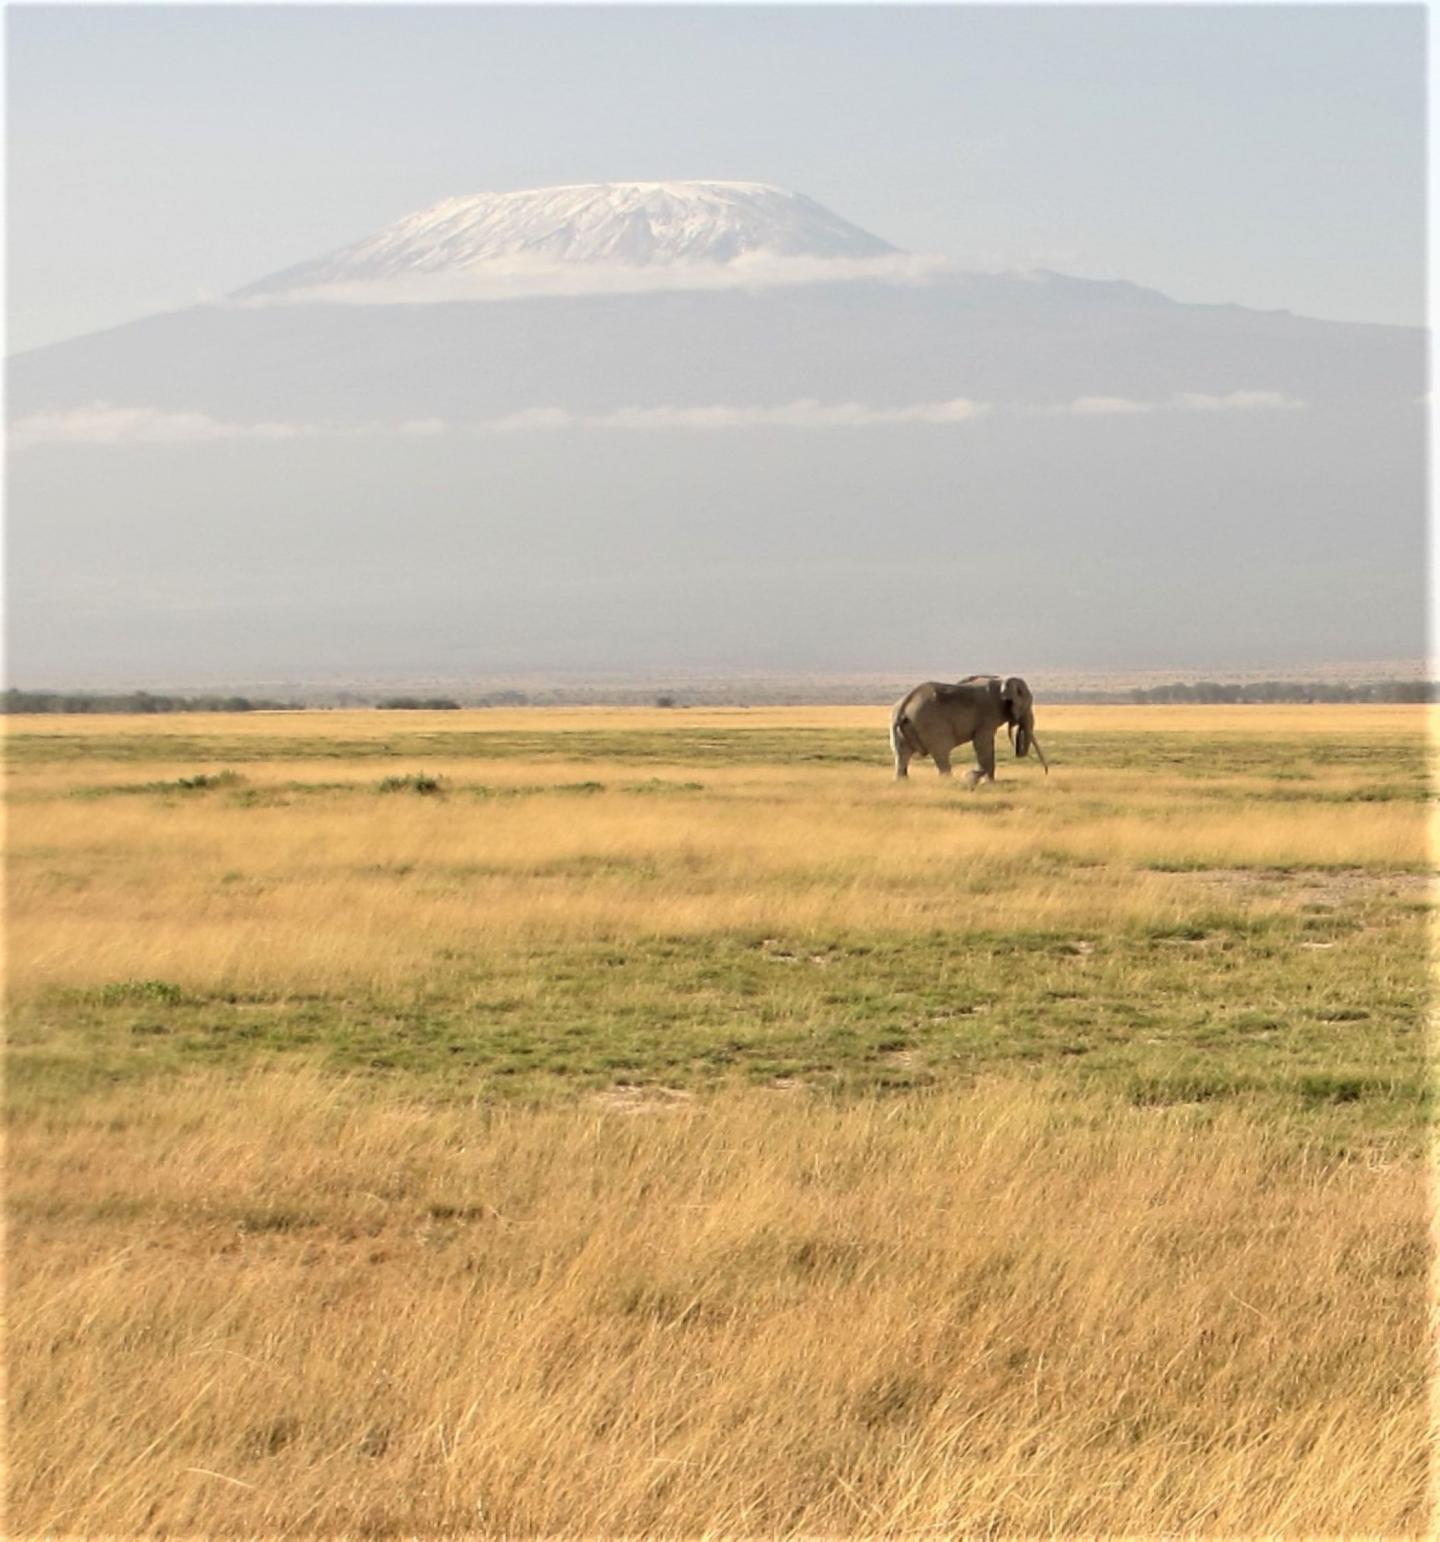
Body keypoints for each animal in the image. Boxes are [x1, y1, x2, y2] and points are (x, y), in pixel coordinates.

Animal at [888, 675, 1048, 789]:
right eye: (1027, 704)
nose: (1046, 773)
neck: (1001, 680)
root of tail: (903, 707)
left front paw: (986, 781)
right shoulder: (987, 715)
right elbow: (983, 743)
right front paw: (981, 780)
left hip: (901, 730)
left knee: (901, 755)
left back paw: (902, 783)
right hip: (931, 724)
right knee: (941, 753)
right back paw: (949, 783)